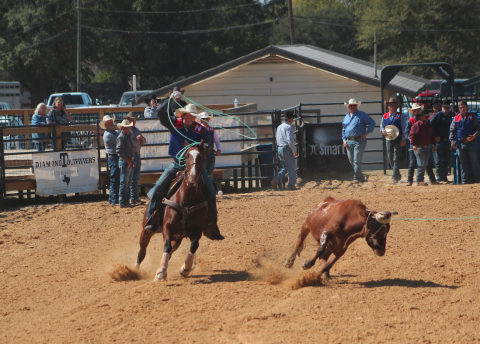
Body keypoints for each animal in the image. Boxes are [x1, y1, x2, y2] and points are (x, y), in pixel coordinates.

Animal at [136, 142, 209, 280]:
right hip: (146, 229)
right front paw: (161, 273)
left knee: (171, 251)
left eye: (202, 156)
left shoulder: (197, 230)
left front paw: (185, 268)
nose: (193, 176)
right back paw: (134, 270)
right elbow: (166, 246)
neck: (187, 202)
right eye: (186, 156)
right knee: (142, 250)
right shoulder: (167, 227)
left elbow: (193, 246)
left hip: (178, 237)